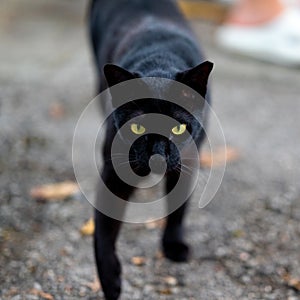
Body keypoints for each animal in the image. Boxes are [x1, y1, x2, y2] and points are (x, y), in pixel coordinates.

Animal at [88, 1, 212, 298]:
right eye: (137, 128)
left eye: (177, 129)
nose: (157, 158)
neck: (160, 62)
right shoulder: (113, 173)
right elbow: (103, 230)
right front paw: (110, 282)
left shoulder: (187, 162)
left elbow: (178, 209)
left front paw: (173, 246)